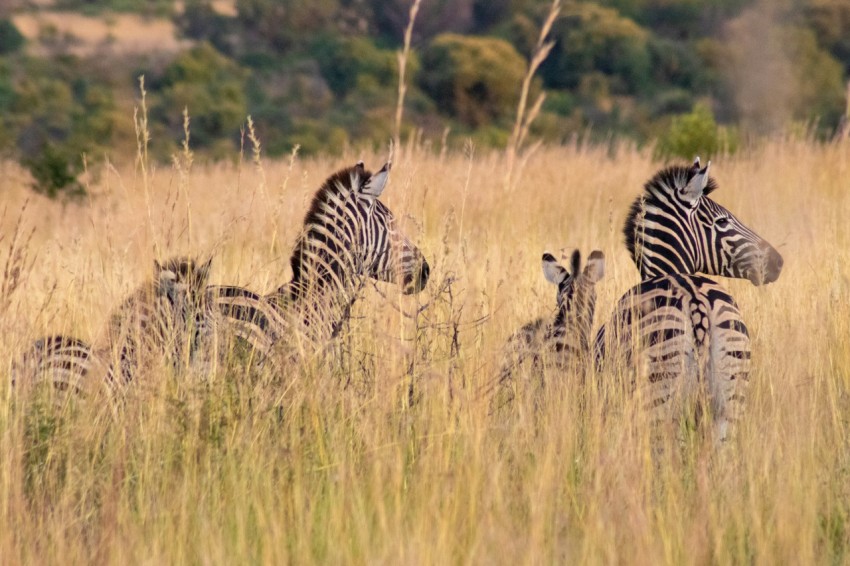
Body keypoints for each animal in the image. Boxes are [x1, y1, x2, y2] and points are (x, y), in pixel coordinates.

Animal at [596, 158, 783, 445]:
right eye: (722, 221)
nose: (778, 262)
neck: (669, 270)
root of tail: (696, 301)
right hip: (731, 395)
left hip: (662, 396)